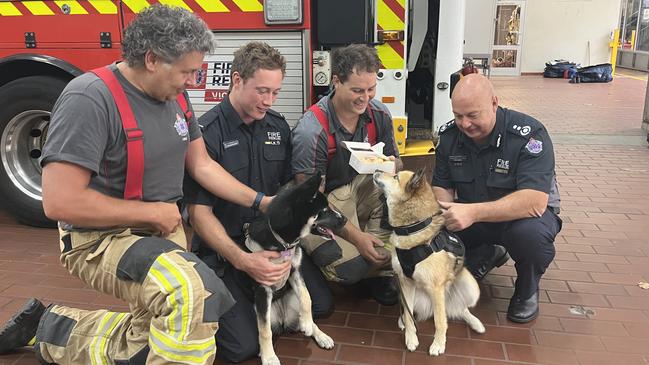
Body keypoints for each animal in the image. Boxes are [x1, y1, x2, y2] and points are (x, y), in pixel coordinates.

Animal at [243, 174, 344, 364]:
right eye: (325, 210)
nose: (345, 219)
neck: (283, 243)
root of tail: (283, 320)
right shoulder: (262, 289)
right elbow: (264, 330)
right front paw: (269, 357)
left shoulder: (295, 271)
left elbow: (307, 297)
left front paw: (307, 324)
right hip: (258, 309)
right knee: (267, 326)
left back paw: (320, 334)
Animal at [372, 169, 484, 354]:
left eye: (395, 177)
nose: (376, 170)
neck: (412, 229)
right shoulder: (405, 282)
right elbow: (409, 316)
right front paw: (411, 338)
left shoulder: (436, 287)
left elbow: (440, 322)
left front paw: (438, 344)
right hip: (404, 290)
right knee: (410, 311)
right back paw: (402, 321)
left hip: (470, 287)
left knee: (459, 310)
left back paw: (475, 322)